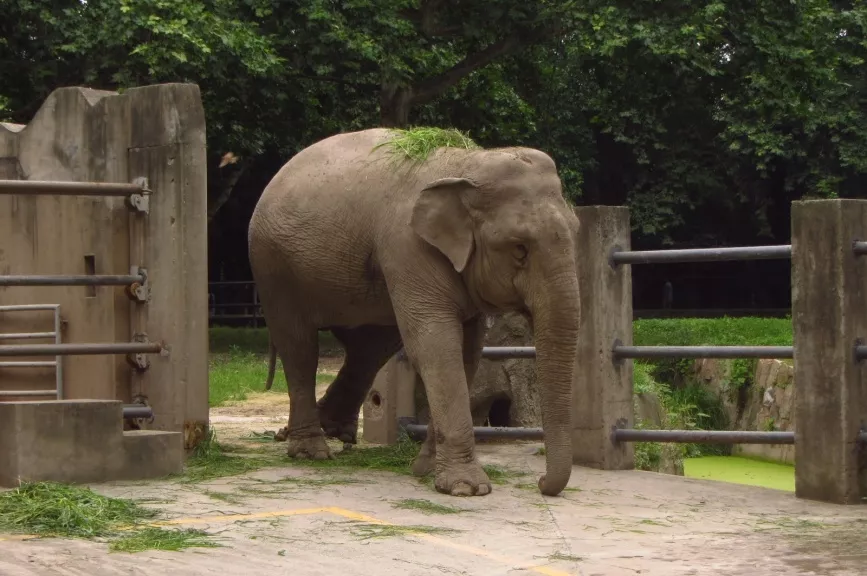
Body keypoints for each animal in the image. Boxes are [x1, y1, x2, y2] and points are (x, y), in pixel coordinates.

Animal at [248, 128, 580, 498]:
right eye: (519, 248)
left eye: (577, 231)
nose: (541, 484)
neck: (467, 162)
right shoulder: (408, 247)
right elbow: (436, 345)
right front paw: (467, 488)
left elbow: (466, 352)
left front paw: (425, 470)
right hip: (273, 266)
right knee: (300, 346)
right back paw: (311, 451)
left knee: (370, 348)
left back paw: (331, 432)